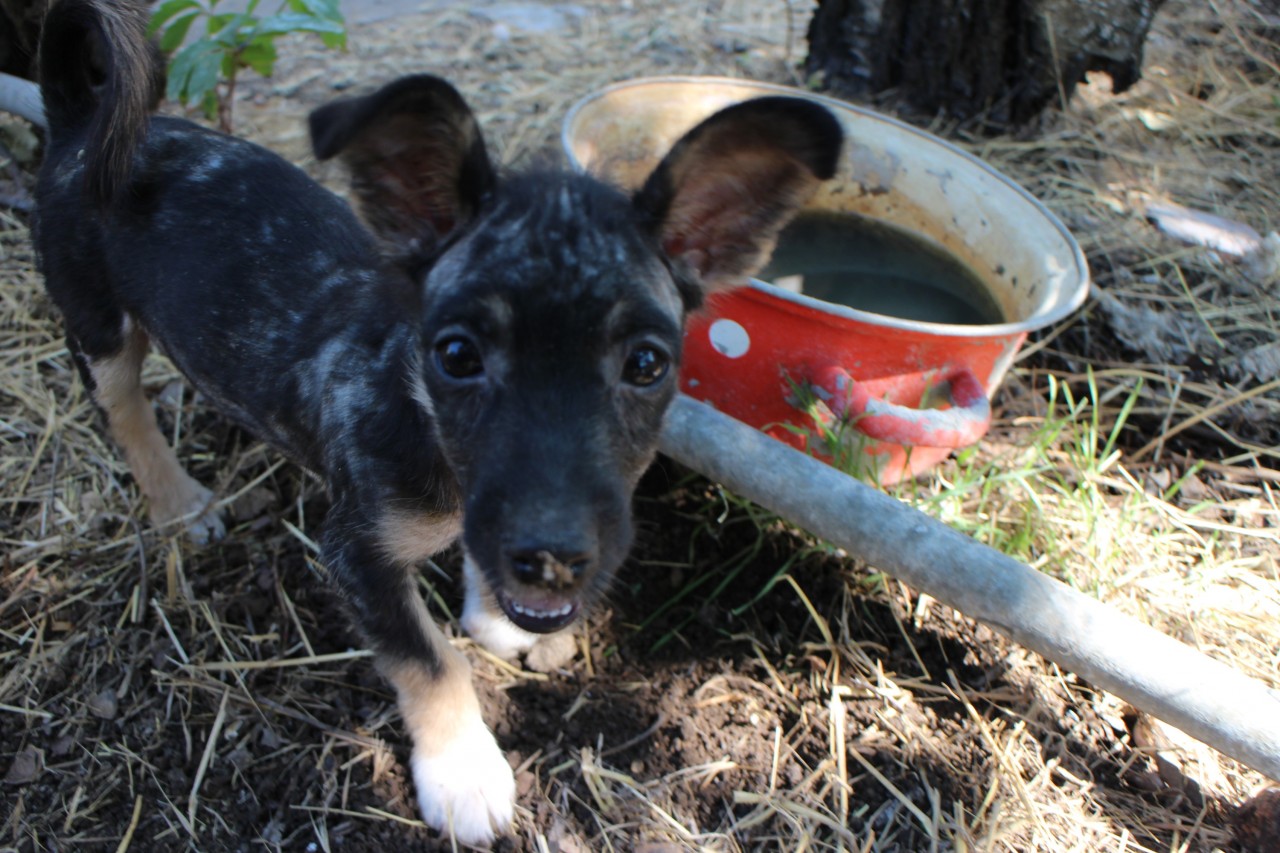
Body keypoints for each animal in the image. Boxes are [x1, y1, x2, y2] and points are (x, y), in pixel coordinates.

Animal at [35, 0, 839, 840]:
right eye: (456, 353)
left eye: (648, 364)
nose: (553, 560)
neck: (419, 415)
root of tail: (79, 123)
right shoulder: (354, 551)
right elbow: (429, 660)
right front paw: (463, 772)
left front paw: (496, 621)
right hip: (97, 321)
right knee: (123, 411)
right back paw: (180, 503)